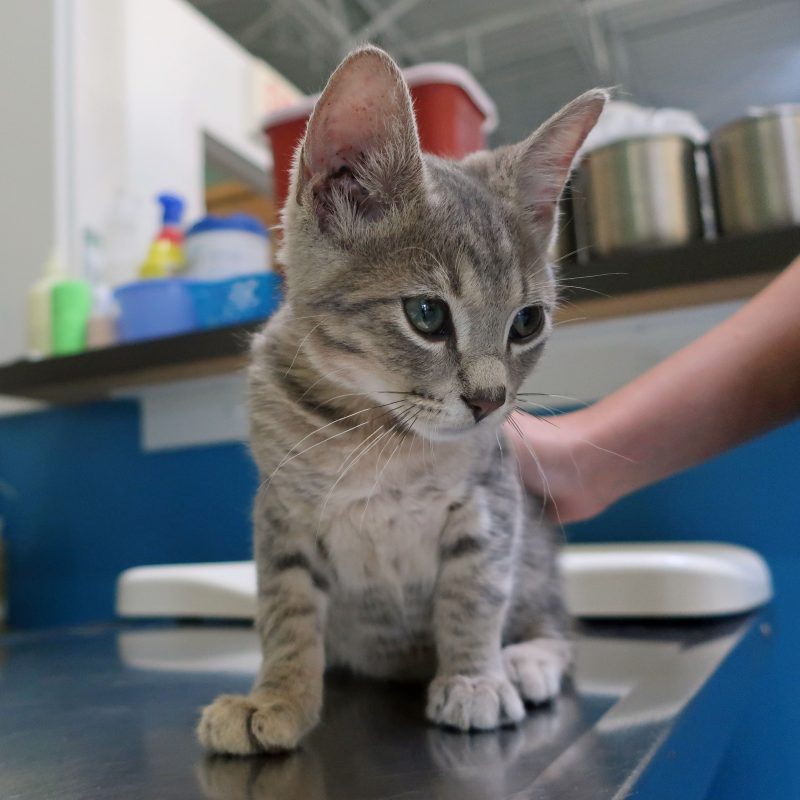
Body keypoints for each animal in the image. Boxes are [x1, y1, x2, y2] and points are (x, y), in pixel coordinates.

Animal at [200, 45, 608, 756]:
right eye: (426, 314)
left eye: (526, 323)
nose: (489, 400)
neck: (380, 437)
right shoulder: (281, 512)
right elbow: (286, 611)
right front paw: (276, 698)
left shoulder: (492, 504)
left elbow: (474, 595)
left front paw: (473, 678)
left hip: (538, 562)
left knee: (557, 624)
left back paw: (527, 659)